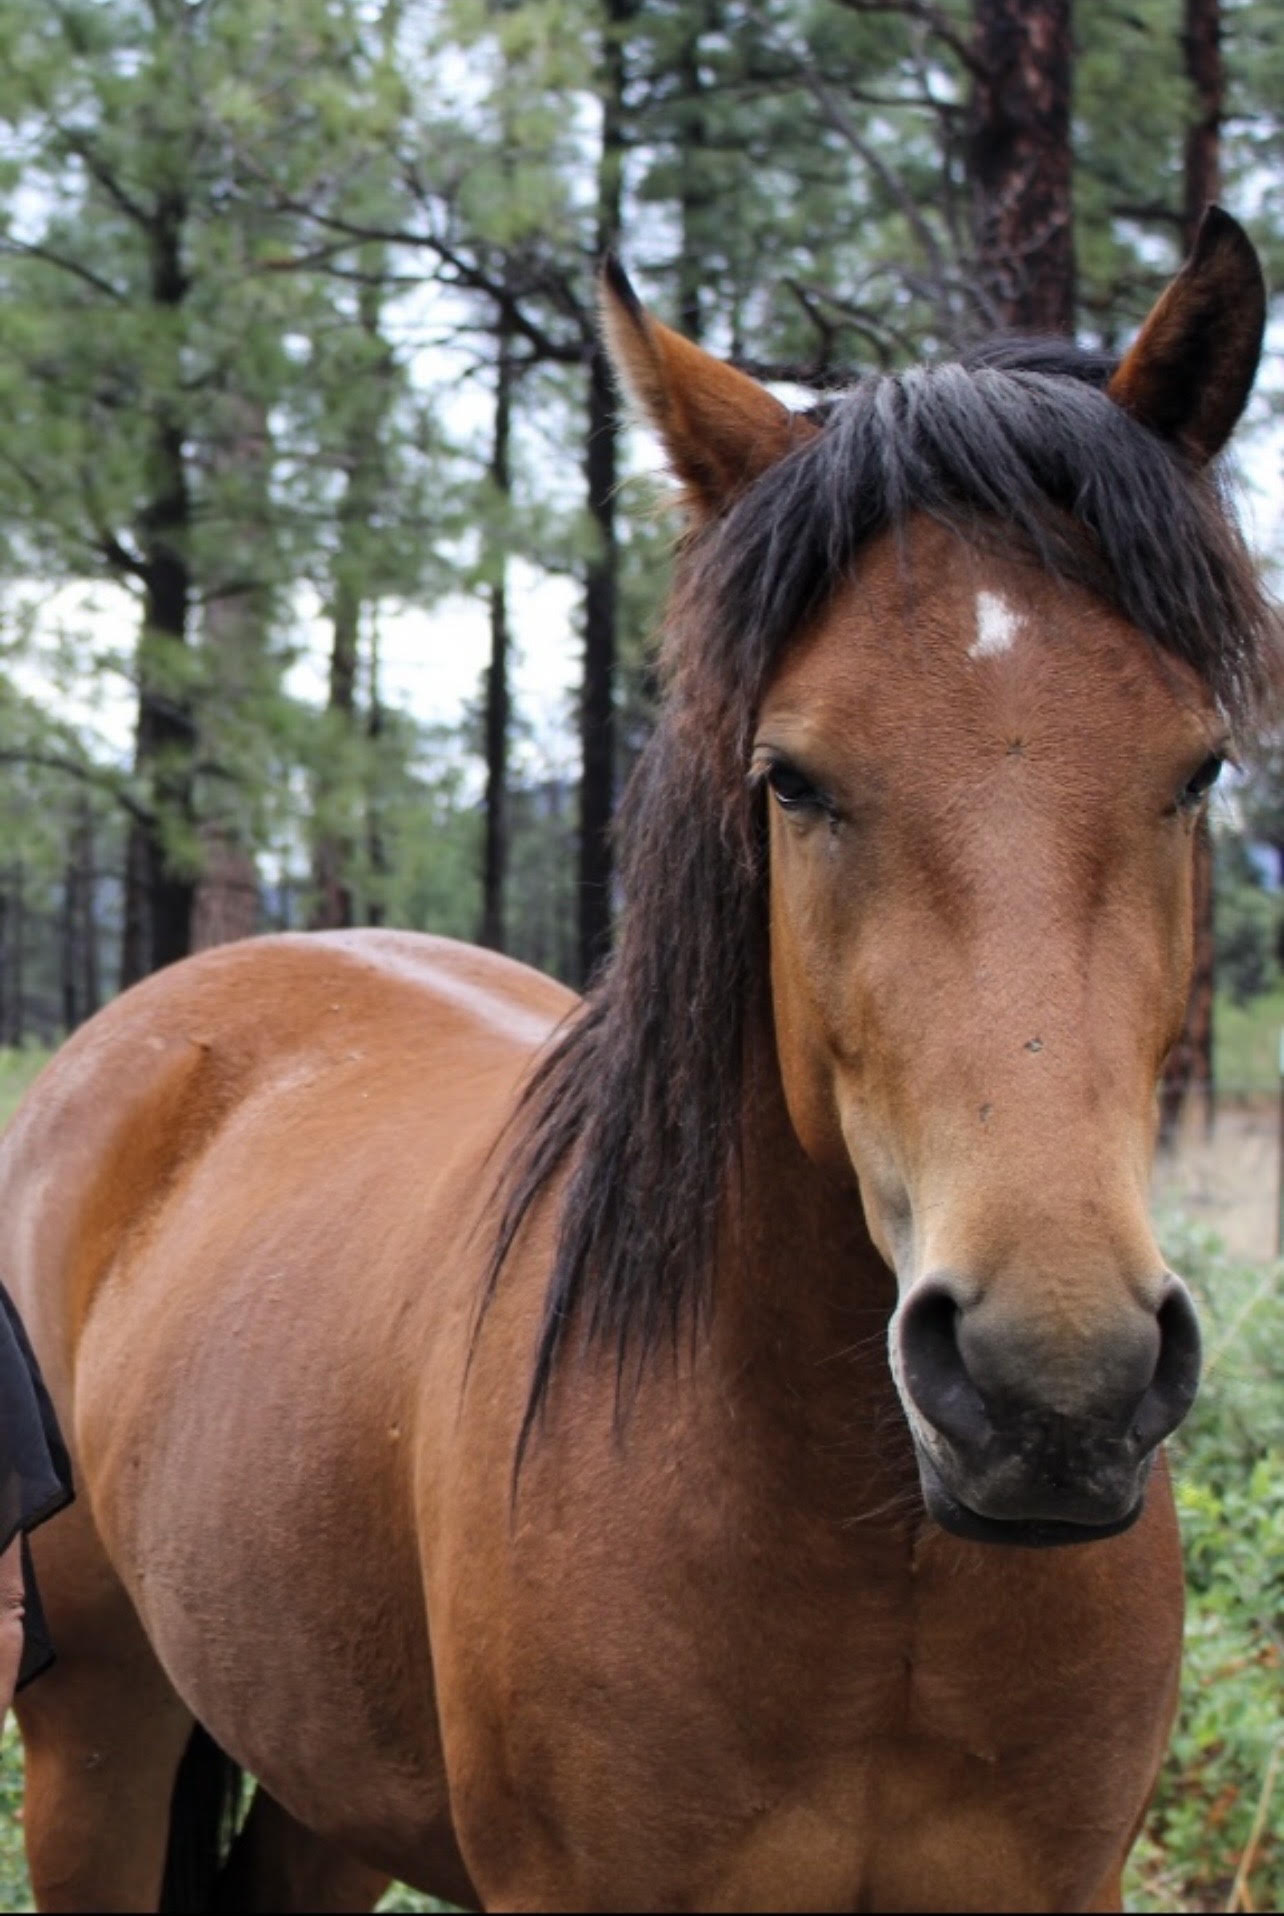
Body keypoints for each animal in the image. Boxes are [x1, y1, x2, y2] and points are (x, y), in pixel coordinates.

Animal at [2, 207, 1275, 1913]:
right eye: (792, 779)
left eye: (1196, 769)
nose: (1050, 1389)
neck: (886, 1564)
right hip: (96, 1737)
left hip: (327, 1776)